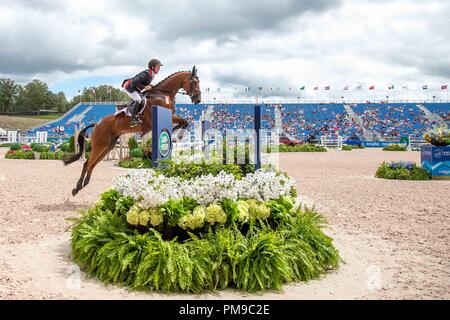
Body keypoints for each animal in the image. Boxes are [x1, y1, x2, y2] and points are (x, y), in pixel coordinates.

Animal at [64, 65, 201, 195]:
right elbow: (181, 122)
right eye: (193, 81)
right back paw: (77, 188)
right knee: (87, 163)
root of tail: (97, 124)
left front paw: (177, 135)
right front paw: (176, 135)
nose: (198, 100)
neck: (162, 95)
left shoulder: (172, 116)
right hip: (99, 145)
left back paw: (84, 184)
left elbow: (184, 122)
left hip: (108, 146)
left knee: (93, 164)